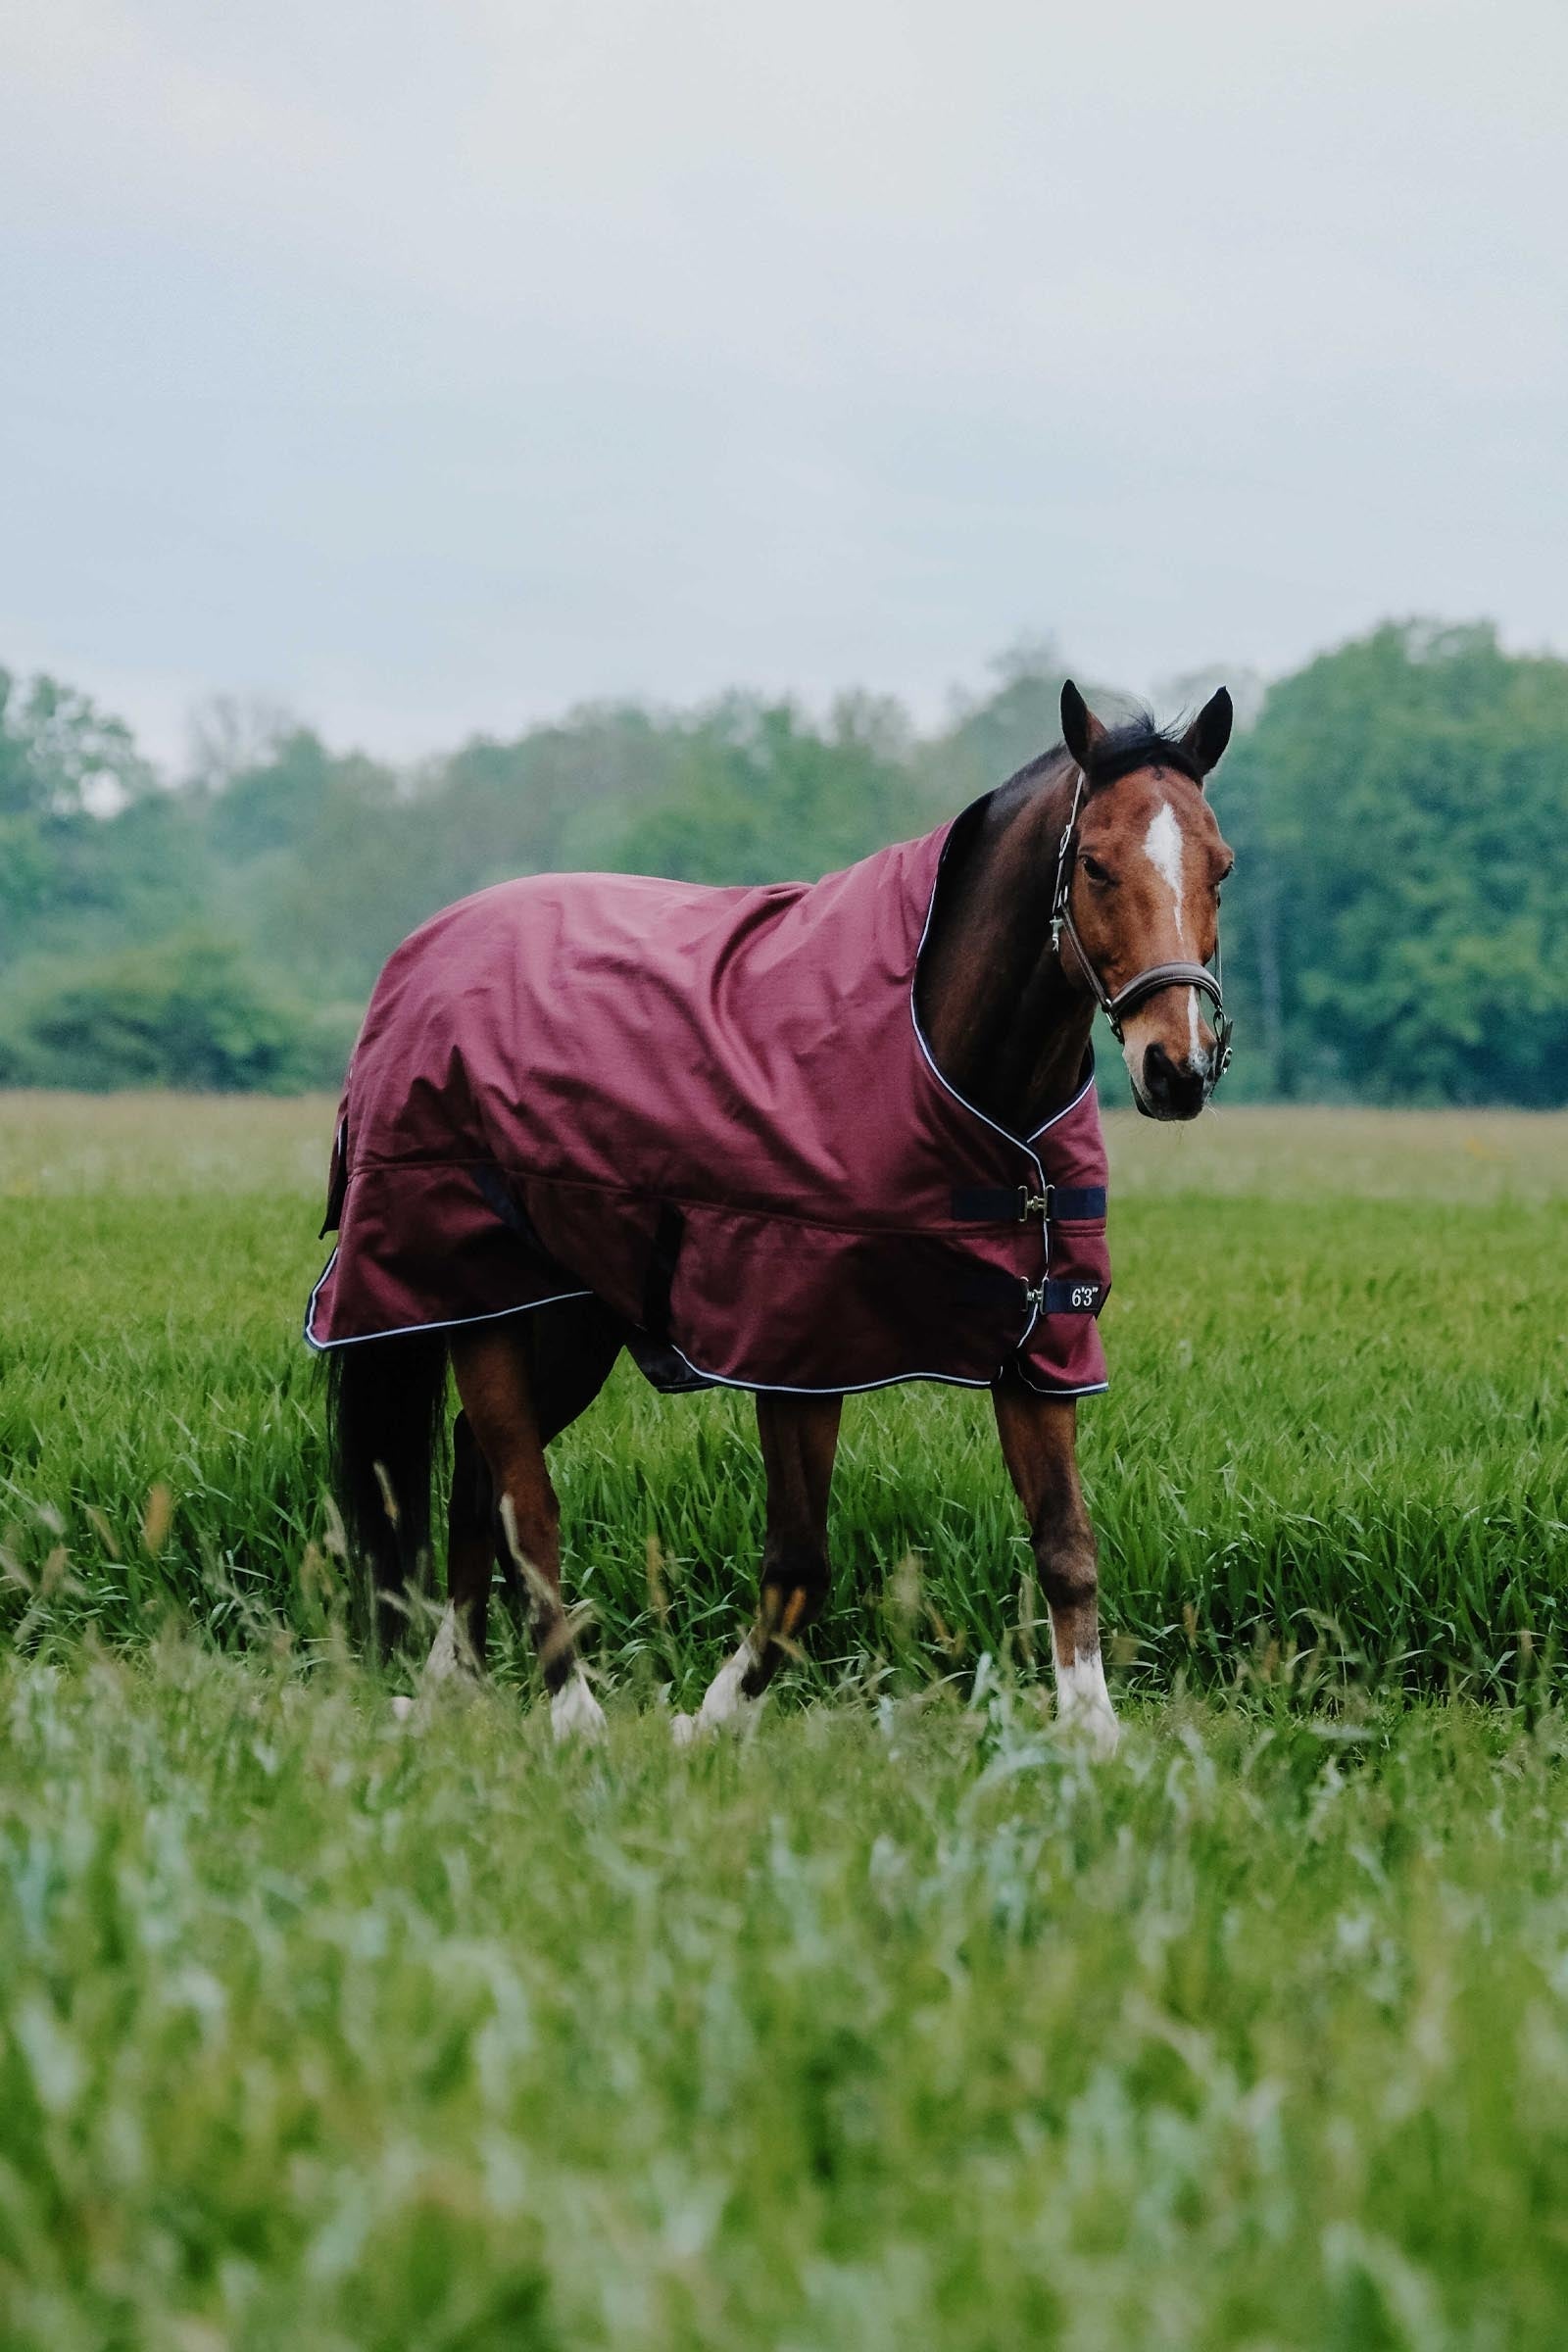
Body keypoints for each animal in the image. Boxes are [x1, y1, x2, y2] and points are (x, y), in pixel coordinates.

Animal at [311, 680, 1235, 1756]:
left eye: (1220, 867)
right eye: (1094, 862)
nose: (1177, 1068)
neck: (950, 1070)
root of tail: (422, 953)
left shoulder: (1040, 1345)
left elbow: (1066, 1544)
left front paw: (1093, 1736)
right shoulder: (798, 1351)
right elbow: (798, 1566)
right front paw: (708, 1720)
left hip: (568, 1317)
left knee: (472, 1470)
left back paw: (448, 1686)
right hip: (475, 1294)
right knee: (521, 1499)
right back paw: (573, 1712)